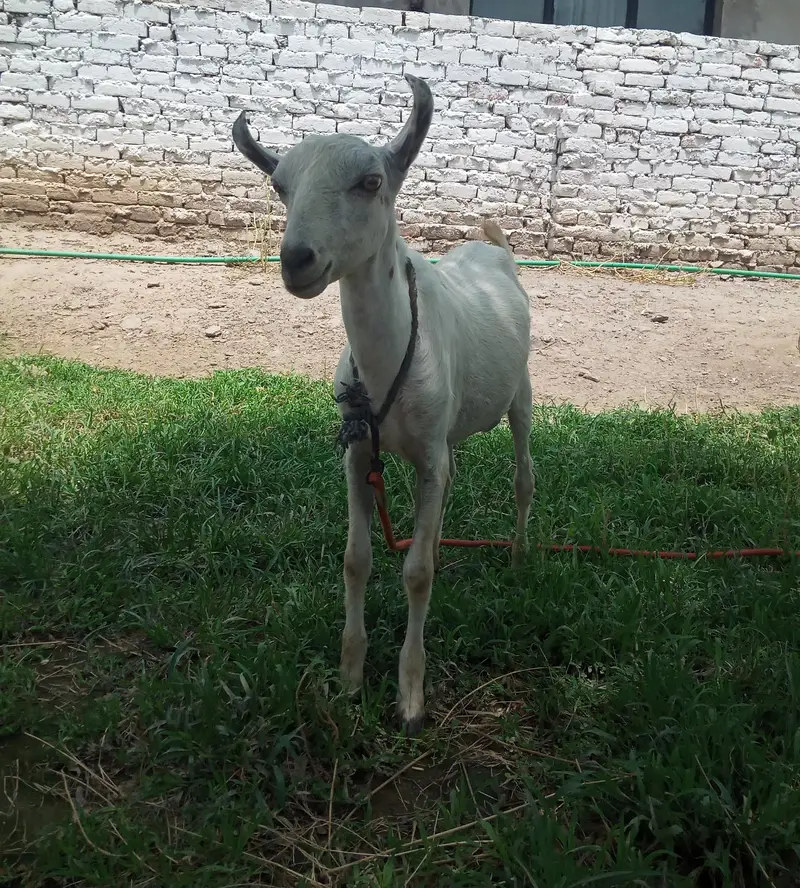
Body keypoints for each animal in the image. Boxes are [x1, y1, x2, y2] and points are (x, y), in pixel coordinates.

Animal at [232, 74, 534, 735]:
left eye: (370, 181)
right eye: (280, 185)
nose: (297, 260)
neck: (389, 362)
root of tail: (492, 247)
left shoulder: (427, 451)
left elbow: (415, 573)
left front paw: (410, 699)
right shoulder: (359, 451)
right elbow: (356, 558)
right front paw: (349, 679)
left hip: (522, 387)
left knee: (524, 472)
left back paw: (520, 557)